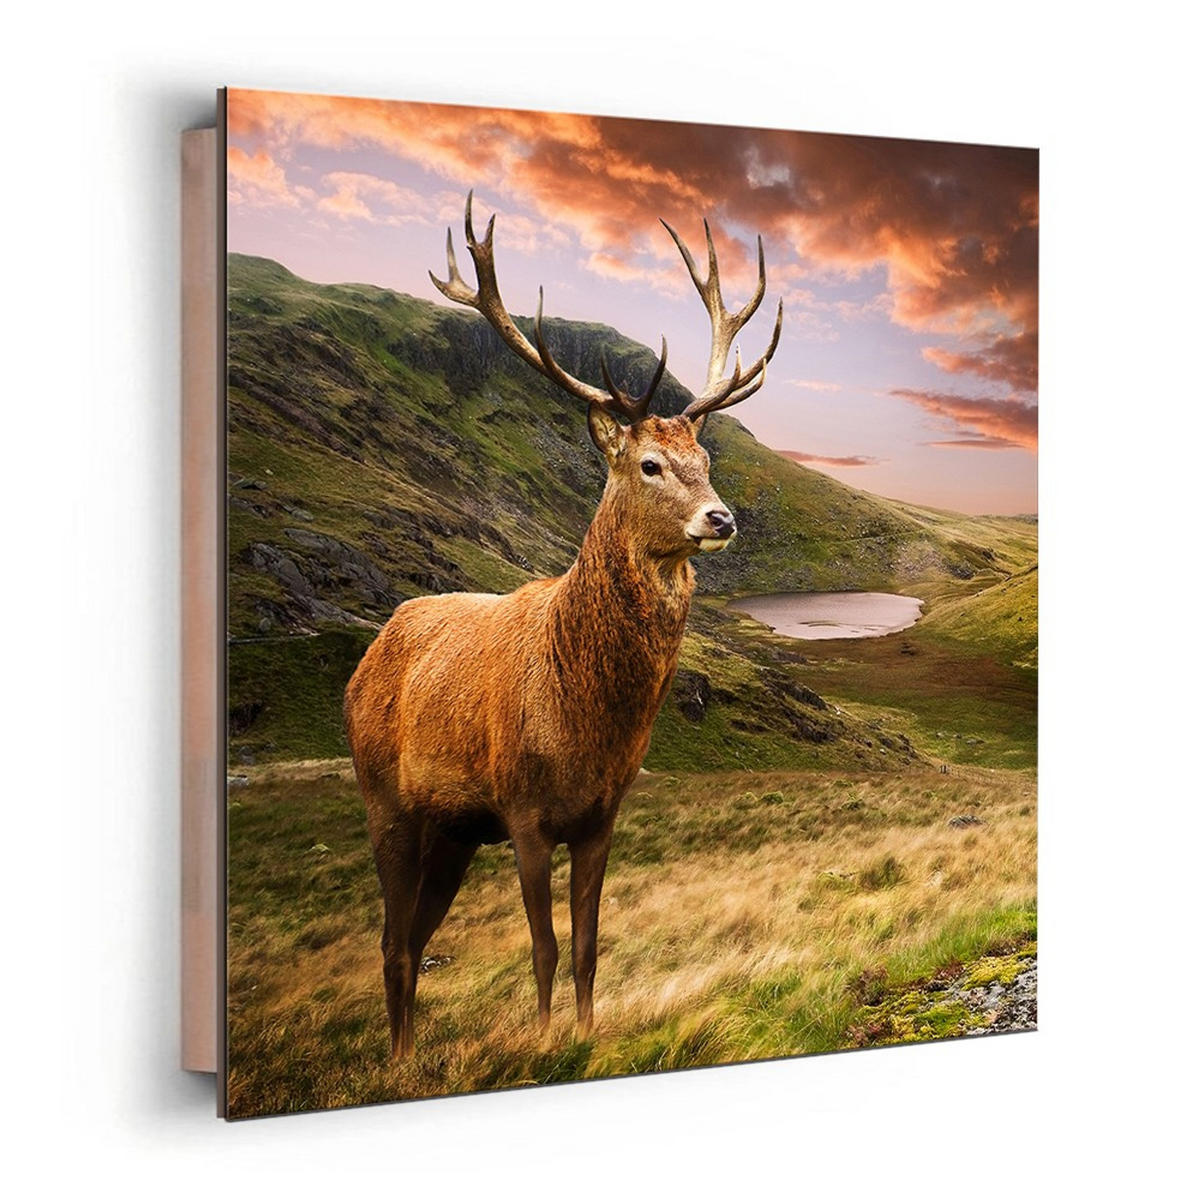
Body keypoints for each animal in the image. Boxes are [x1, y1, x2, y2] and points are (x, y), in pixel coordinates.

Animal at [344, 193, 783, 1060]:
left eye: (707, 458)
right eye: (649, 464)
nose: (722, 519)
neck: (582, 721)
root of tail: (368, 655)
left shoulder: (601, 815)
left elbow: (586, 943)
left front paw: (586, 1033)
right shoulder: (522, 810)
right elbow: (542, 945)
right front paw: (546, 1041)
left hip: (451, 833)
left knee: (413, 938)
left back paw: (407, 1060)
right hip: (386, 801)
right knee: (391, 941)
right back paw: (398, 1063)